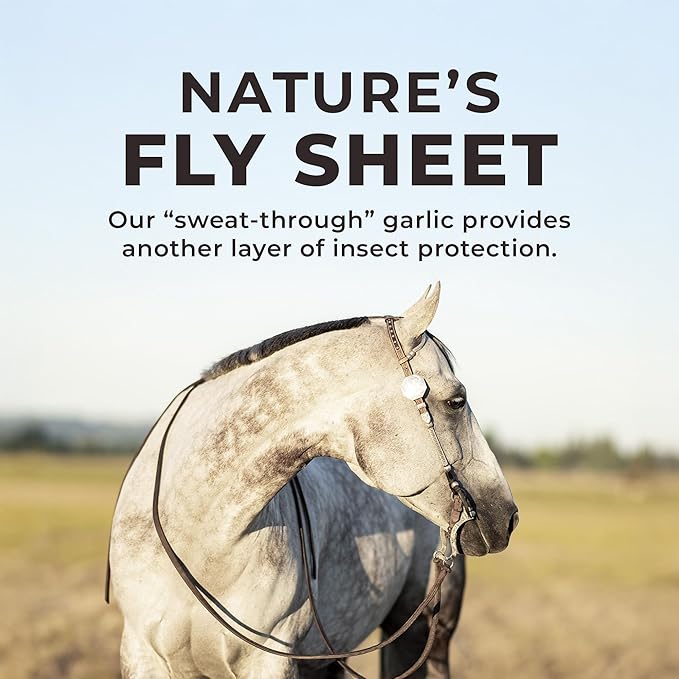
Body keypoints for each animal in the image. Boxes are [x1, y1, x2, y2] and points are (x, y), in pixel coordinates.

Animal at [107, 283, 518, 678]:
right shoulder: (142, 656)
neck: (201, 540)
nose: (507, 516)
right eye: (456, 401)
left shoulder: (270, 661)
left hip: (423, 636)